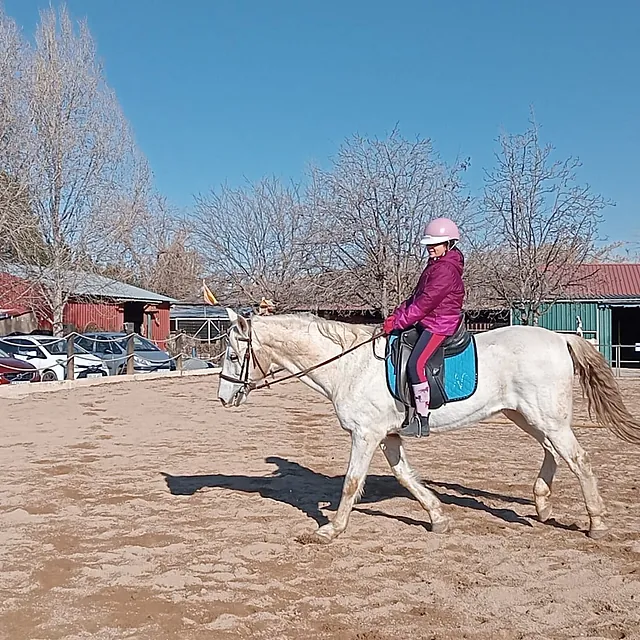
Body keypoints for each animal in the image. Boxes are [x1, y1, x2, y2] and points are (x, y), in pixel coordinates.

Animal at [216, 310, 640, 540]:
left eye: (234, 355)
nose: (223, 397)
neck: (349, 365)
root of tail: (560, 337)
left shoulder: (365, 434)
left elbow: (352, 482)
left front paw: (331, 530)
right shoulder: (387, 436)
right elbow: (406, 476)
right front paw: (438, 517)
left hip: (546, 417)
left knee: (578, 459)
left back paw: (596, 524)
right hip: (526, 415)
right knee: (553, 451)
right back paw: (541, 502)